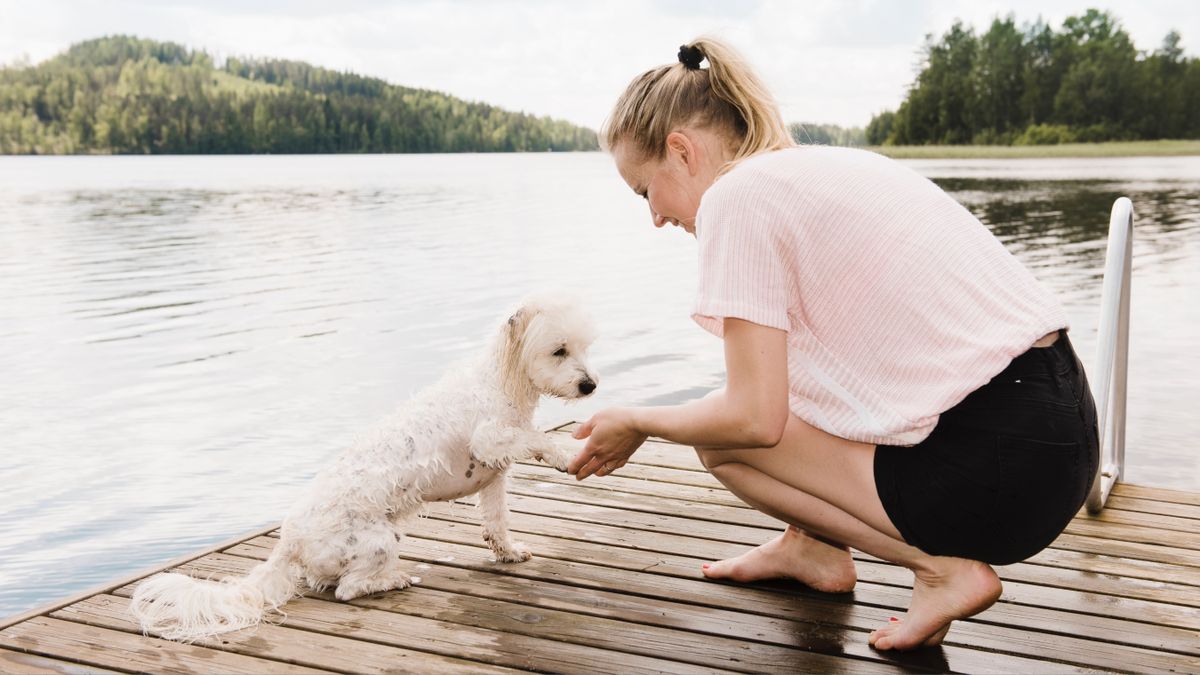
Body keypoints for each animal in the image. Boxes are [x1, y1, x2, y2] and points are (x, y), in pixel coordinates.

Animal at [129, 291, 597, 638]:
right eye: (559, 351)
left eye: (583, 348)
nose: (590, 385)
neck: (500, 380)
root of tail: (289, 540)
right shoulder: (490, 439)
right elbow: (538, 439)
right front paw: (563, 455)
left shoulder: (493, 476)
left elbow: (497, 522)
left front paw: (509, 553)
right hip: (380, 540)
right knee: (349, 590)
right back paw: (392, 580)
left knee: (329, 582)